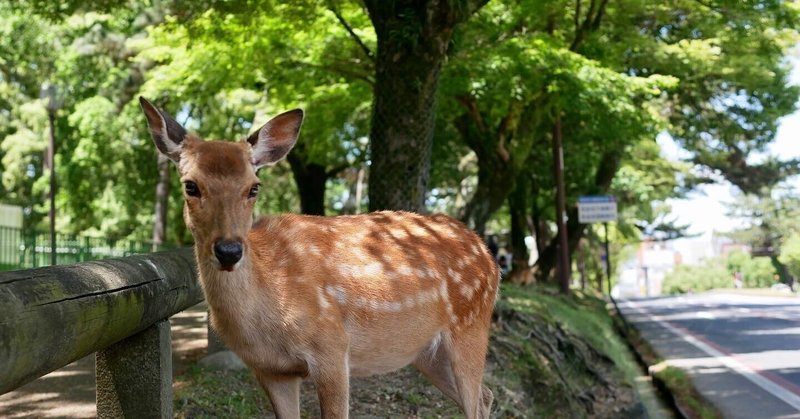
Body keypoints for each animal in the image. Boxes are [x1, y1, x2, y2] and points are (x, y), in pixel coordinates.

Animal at [141, 97, 496, 418]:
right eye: (191, 185)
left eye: (254, 187)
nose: (229, 251)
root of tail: (487, 253)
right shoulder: (271, 370)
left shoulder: (333, 348)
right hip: (425, 351)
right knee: (486, 396)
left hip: (471, 325)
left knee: (478, 397)